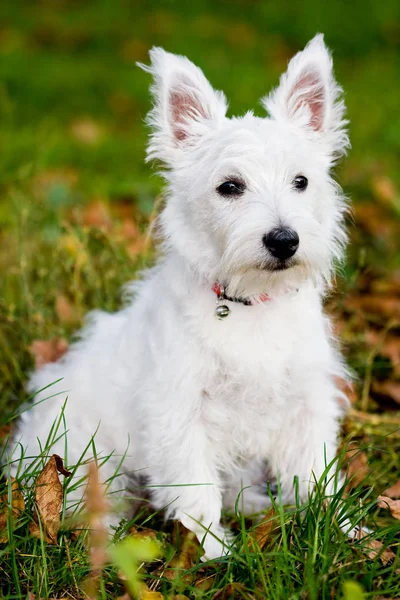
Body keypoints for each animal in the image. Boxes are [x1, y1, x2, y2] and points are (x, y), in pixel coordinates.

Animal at [10, 32, 350, 556]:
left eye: (301, 181)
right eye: (229, 186)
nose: (284, 240)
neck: (249, 304)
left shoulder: (305, 402)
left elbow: (318, 477)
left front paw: (347, 536)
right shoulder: (179, 412)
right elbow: (195, 492)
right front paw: (214, 554)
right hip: (86, 458)